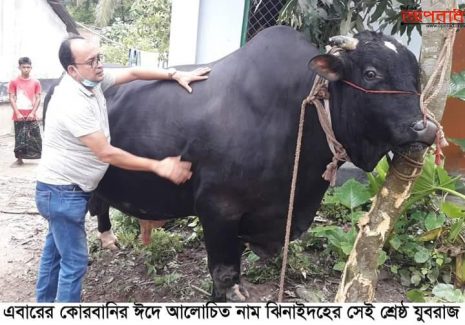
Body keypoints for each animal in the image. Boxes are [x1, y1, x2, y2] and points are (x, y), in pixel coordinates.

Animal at [44, 26, 436, 300]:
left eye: (415, 75)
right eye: (371, 73)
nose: (425, 127)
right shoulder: (217, 209)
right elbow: (225, 277)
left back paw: (108, 240)